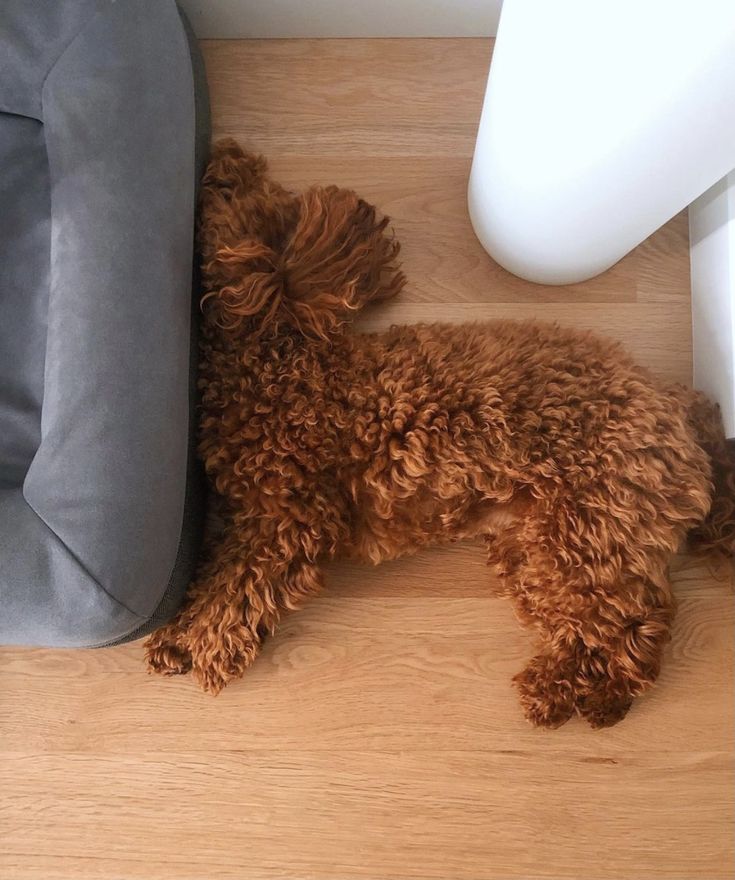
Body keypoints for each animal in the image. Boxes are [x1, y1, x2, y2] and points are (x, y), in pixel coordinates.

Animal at [145, 138, 735, 728]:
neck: (277, 358)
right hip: (534, 546)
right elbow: (214, 572)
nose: (226, 151)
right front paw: (175, 637)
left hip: (587, 530)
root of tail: (675, 405)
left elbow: (237, 587)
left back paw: (569, 695)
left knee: (634, 628)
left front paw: (203, 644)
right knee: (606, 619)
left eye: (232, 193)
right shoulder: (252, 516)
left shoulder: (290, 518)